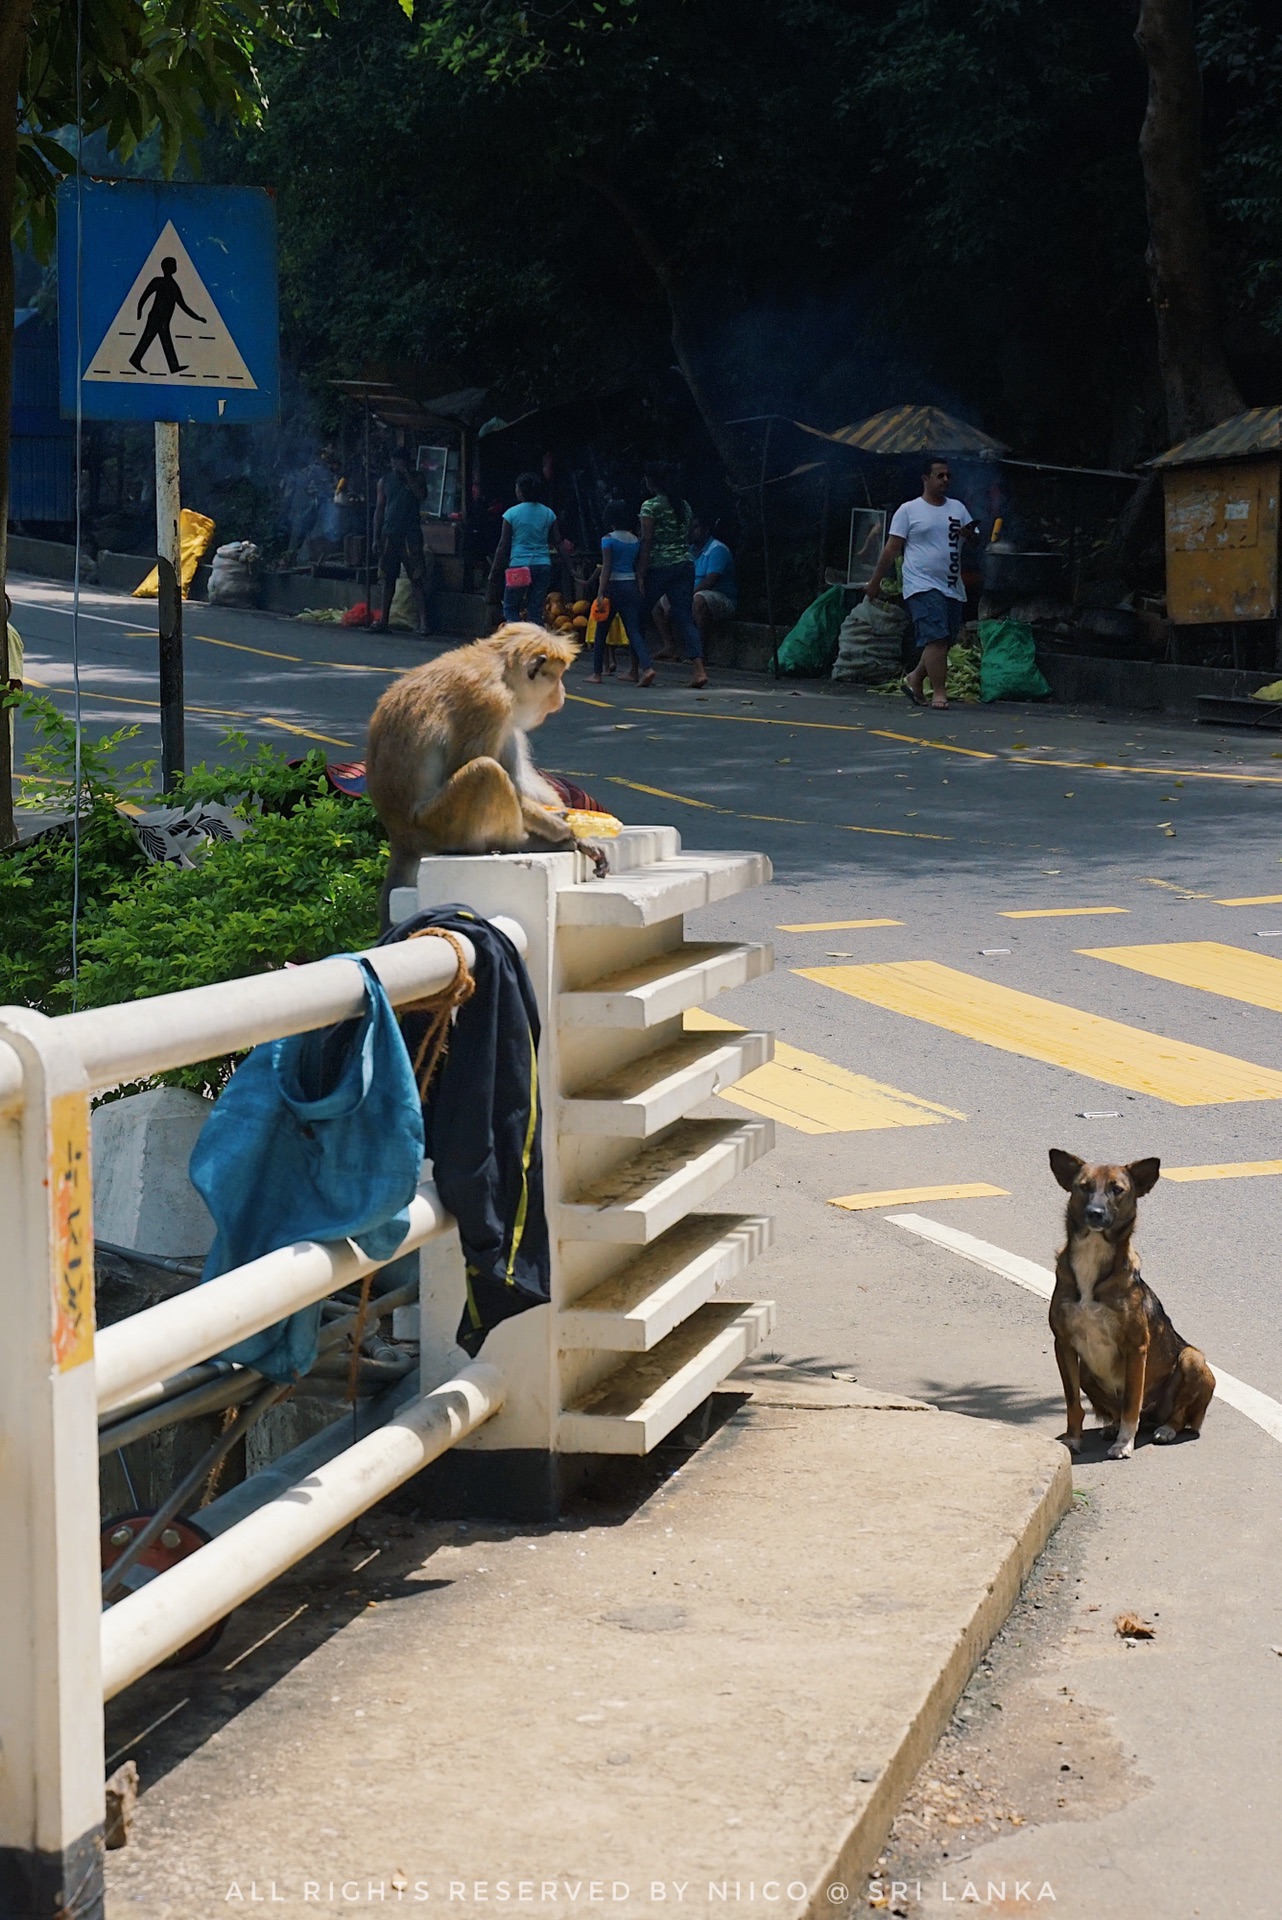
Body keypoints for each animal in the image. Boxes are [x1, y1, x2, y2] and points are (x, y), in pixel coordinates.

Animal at [360, 614, 606, 913]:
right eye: (557, 677)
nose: (562, 693)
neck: (499, 669)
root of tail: (401, 838)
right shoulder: (491, 704)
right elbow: (476, 767)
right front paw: (564, 830)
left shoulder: (507, 714)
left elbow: (519, 778)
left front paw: (579, 831)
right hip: (438, 827)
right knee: (485, 771)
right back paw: (520, 843)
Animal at [1044, 1152, 1220, 1451]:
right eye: (1084, 1186)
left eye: (1117, 1189)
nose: (1095, 1213)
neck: (1093, 1254)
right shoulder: (1063, 1343)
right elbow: (1072, 1402)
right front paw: (1074, 1438)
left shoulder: (1136, 1347)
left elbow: (1131, 1403)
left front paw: (1124, 1444)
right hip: (1087, 1372)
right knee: (1116, 1410)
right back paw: (1112, 1427)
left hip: (1192, 1358)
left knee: (1177, 1416)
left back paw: (1165, 1429)